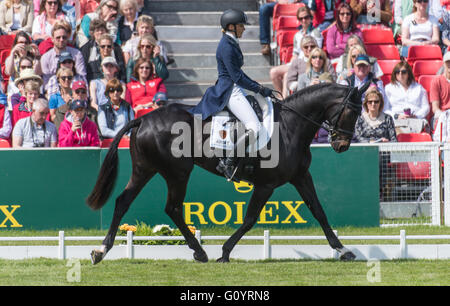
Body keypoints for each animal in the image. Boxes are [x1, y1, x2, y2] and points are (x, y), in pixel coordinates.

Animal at [87, 81, 370, 262]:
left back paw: (101, 251)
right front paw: (224, 252)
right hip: (178, 172)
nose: (342, 145)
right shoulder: (266, 184)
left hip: (145, 169)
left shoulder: (301, 177)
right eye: (352, 111)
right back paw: (200, 252)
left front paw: (343, 250)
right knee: (173, 208)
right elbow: (250, 219)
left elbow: (319, 211)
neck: (291, 126)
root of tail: (142, 118)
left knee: (123, 201)